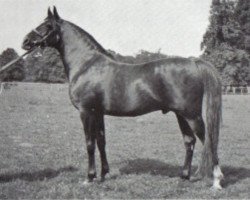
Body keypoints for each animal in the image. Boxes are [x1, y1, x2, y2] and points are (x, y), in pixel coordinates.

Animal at [22, 7, 224, 189]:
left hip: (191, 115)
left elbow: (89, 144)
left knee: (209, 141)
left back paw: (216, 181)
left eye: (48, 26)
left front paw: (89, 178)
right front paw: (104, 174)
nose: (26, 41)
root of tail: (193, 62)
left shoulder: (86, 112)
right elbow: (101, 141)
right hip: (181, 115)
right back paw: (184, 177)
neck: (87, 65)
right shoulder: (98, 113)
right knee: (189, 141)